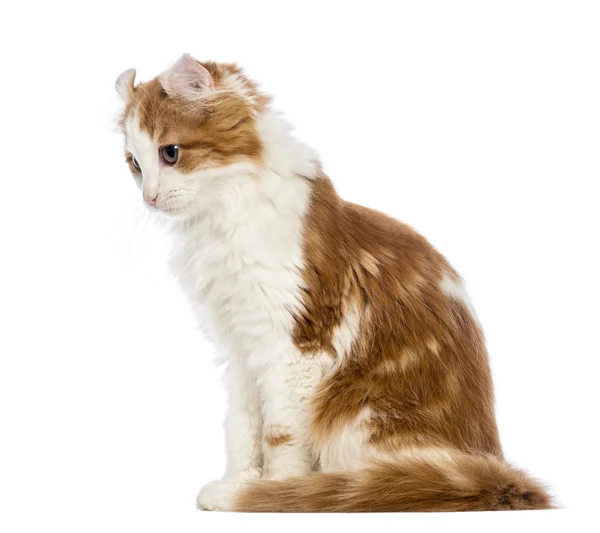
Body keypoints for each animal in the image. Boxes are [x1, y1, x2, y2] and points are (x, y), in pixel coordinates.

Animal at [115, 54, 552, 512]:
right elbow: (241, 427)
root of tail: (492, 466)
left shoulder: (296, 346)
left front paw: (274, 492)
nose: (149, 198)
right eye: (134, 163)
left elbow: (280, 435)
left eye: (170, 153)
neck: (221, 218)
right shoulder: (240, 346)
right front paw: (239, 482)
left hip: (363, 414)